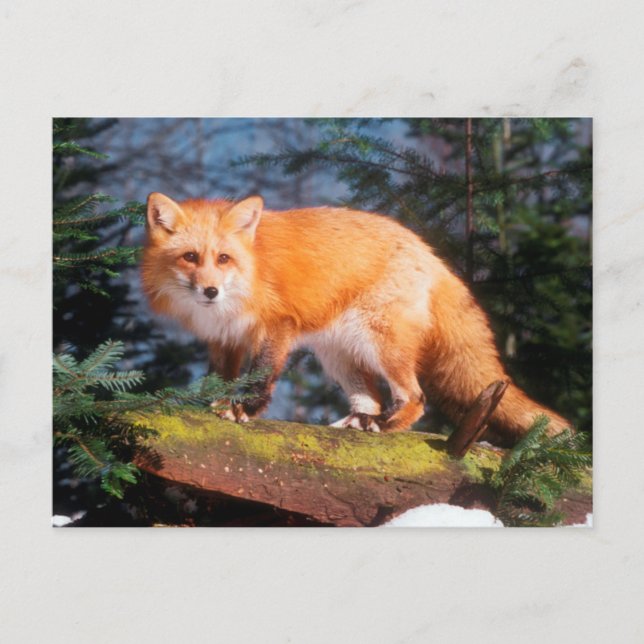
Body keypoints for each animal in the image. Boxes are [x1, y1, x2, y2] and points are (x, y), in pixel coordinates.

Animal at [141, 192, 570, 446]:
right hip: (340, 357)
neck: (251, 270)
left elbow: (260, 376)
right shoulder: (224, 338)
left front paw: (242, 410)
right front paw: (208, 405)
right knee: (373, 399)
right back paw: (358, 423)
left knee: (415, 398)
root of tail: (429, 253)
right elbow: (219, 378)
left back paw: (384, 426)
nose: (210, 291)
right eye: (190, 257)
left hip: (379, 342)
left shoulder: (276, 326)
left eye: (223, 259)